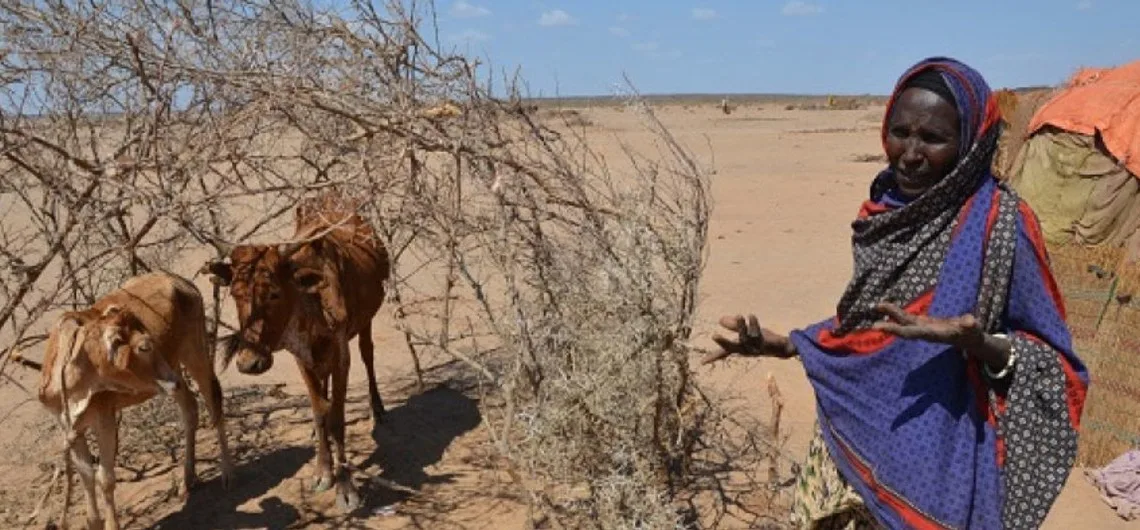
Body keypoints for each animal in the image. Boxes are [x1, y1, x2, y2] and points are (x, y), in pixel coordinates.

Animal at [208, 192, 392, 510]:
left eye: (274, 292)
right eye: (235, 293)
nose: (248, 363)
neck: (311, 304)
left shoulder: (341, 354)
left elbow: (336, 418)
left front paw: (346, 488)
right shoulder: (301, 358)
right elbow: (320, 412)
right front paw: (323, 471)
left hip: (366, 320)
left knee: (368, 353)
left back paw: (377, 408)